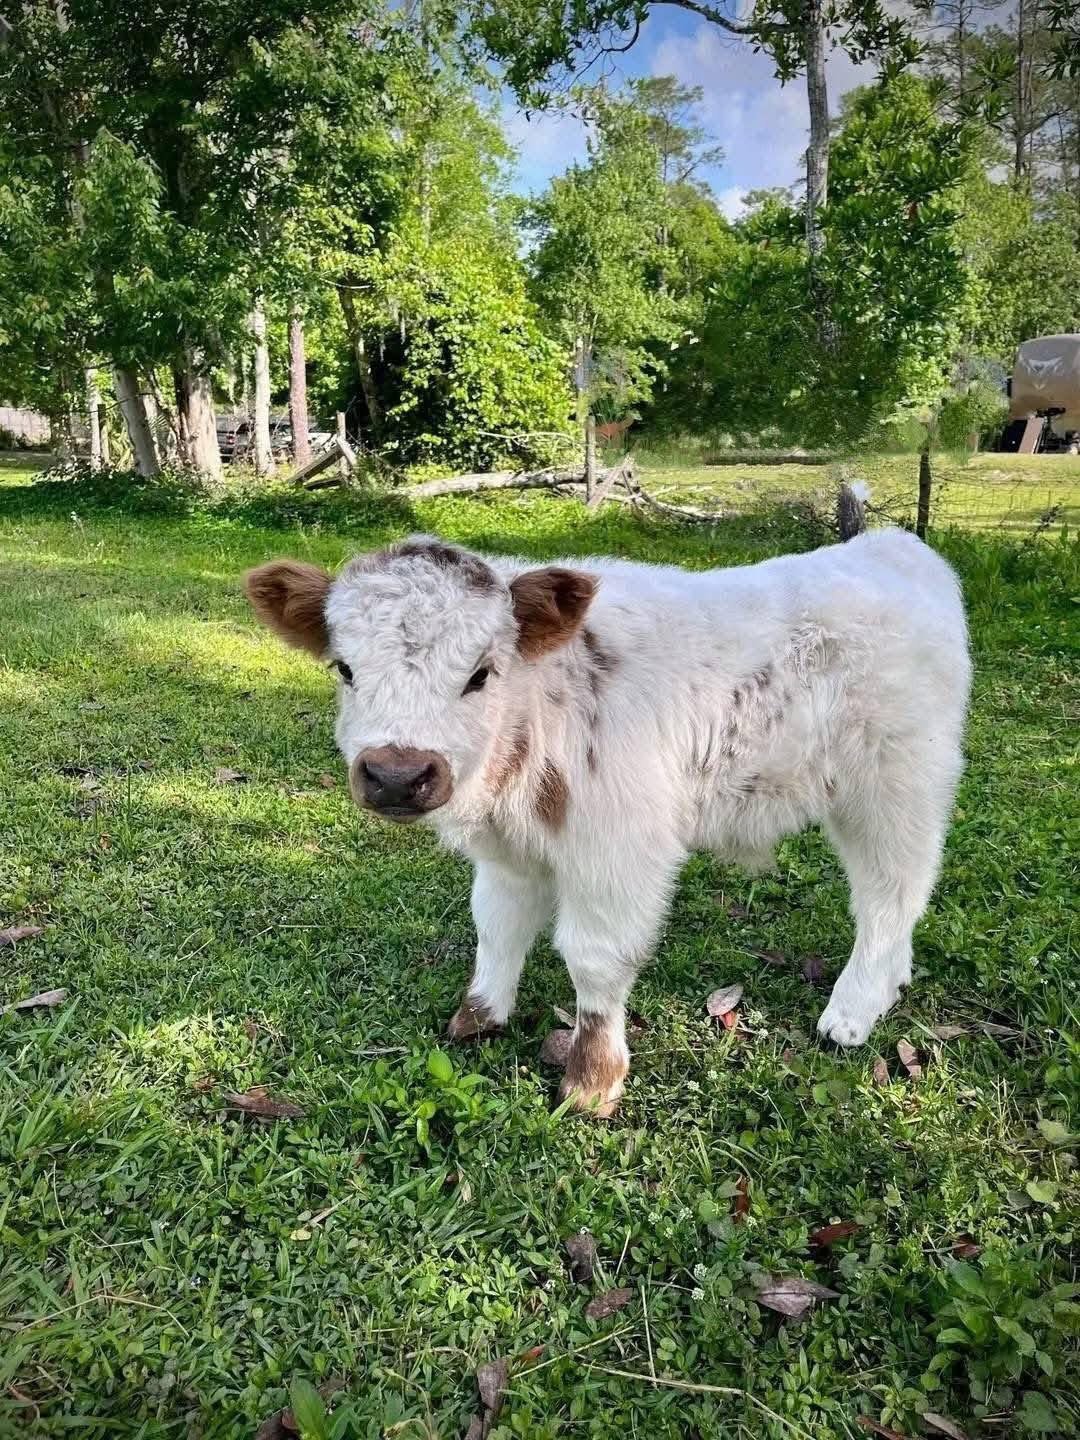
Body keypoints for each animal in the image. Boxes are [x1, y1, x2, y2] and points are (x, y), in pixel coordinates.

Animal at [246, 525, 970, 1117]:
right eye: (345, 668)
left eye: (481, 674)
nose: (397, 774)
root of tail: (894, 547)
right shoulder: (508, 853)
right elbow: (497, 925)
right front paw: (479, 1015)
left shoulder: (619, 849)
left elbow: (595, 959)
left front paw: (592, 1080)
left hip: (896, 786)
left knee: (891, 895)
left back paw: (851, 1011)